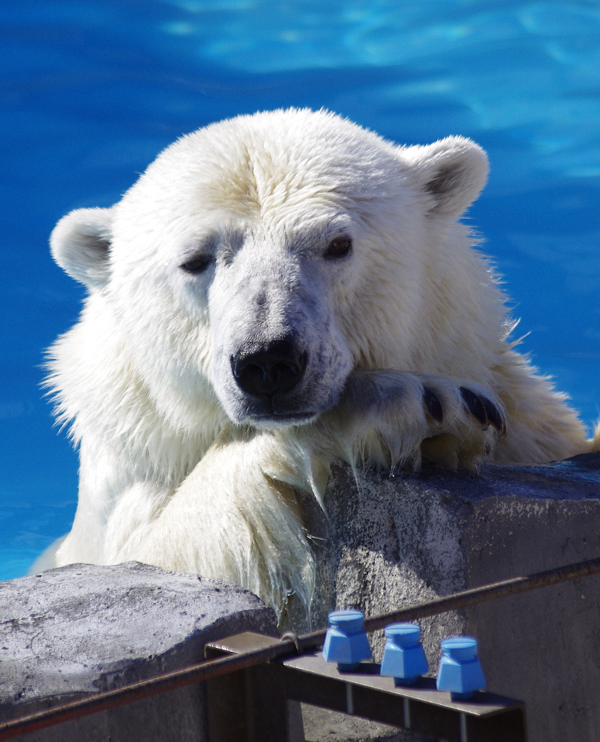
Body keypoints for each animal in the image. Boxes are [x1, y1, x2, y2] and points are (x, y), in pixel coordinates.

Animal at [41, 109, 596, 616]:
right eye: (195, 260)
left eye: (338, 244)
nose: (267, 361)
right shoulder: (132, 474)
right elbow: (166, 551)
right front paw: (426, 404)